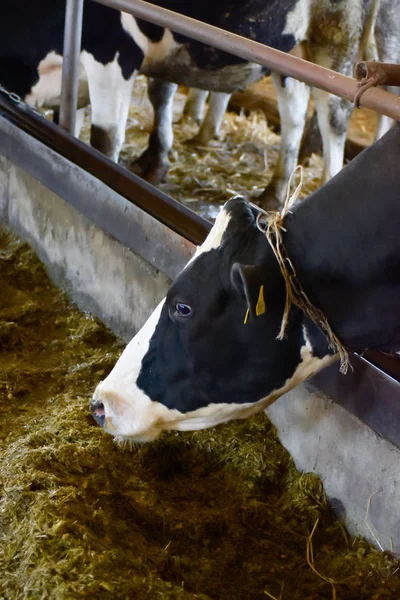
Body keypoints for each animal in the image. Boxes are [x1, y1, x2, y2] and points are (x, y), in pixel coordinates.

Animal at [1, 0, 398, 204]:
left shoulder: (114, 54)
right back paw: (274, 192)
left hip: (336, 38)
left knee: (334, 116)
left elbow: (104, 139)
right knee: (295, 113)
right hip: (289, 49)